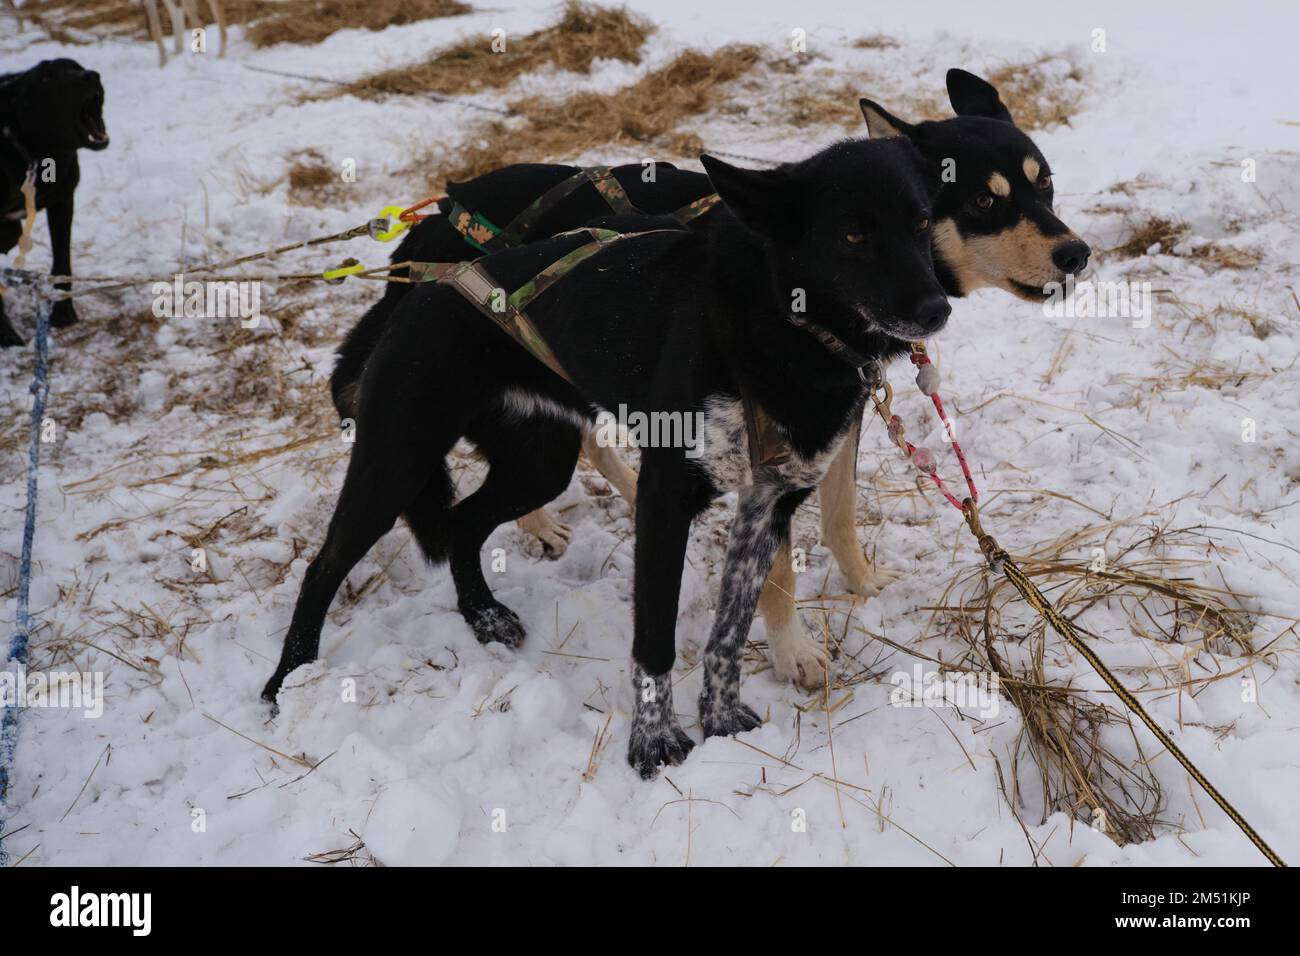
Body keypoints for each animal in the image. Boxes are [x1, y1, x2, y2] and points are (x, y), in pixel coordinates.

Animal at [0, 58, 109, 348]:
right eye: (46, 78)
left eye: (76, 66)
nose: (91, 76)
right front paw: (7, 336)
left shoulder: (62, 200)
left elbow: (63, 263)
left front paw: (63, 309)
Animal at [266, 136, 956, 780]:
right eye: (853, 233)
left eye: (922, 221)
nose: (937, 310)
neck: (779, 324)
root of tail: (421, 287)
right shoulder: (665, 500)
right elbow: (654, 639)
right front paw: (653, 746)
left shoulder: (770, 500)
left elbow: (731, 629)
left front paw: (722, 722)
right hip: (397, 462)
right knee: (324, 566)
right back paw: (288, 682)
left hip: (538, 462)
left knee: (464, 523)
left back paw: (484, 617)